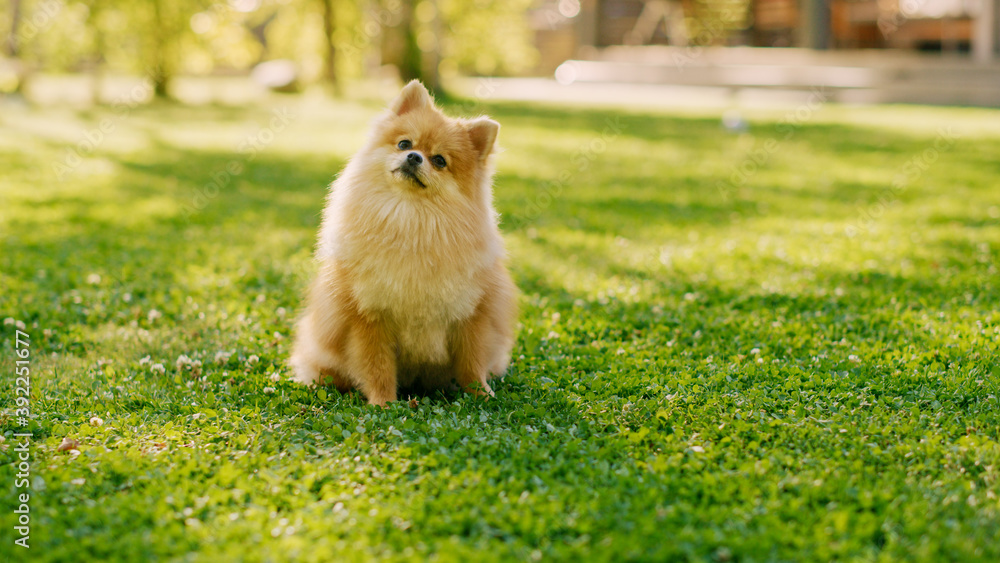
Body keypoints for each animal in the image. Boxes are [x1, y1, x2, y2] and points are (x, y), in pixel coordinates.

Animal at [288, 80, 516, 406]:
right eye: (404, 144)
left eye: (439, 160)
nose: (414, 157)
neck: (410, 220)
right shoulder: (369, 317)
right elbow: (378, 367)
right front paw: (383, 403)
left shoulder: (472, 313)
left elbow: (472, 362)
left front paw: (481, 394)